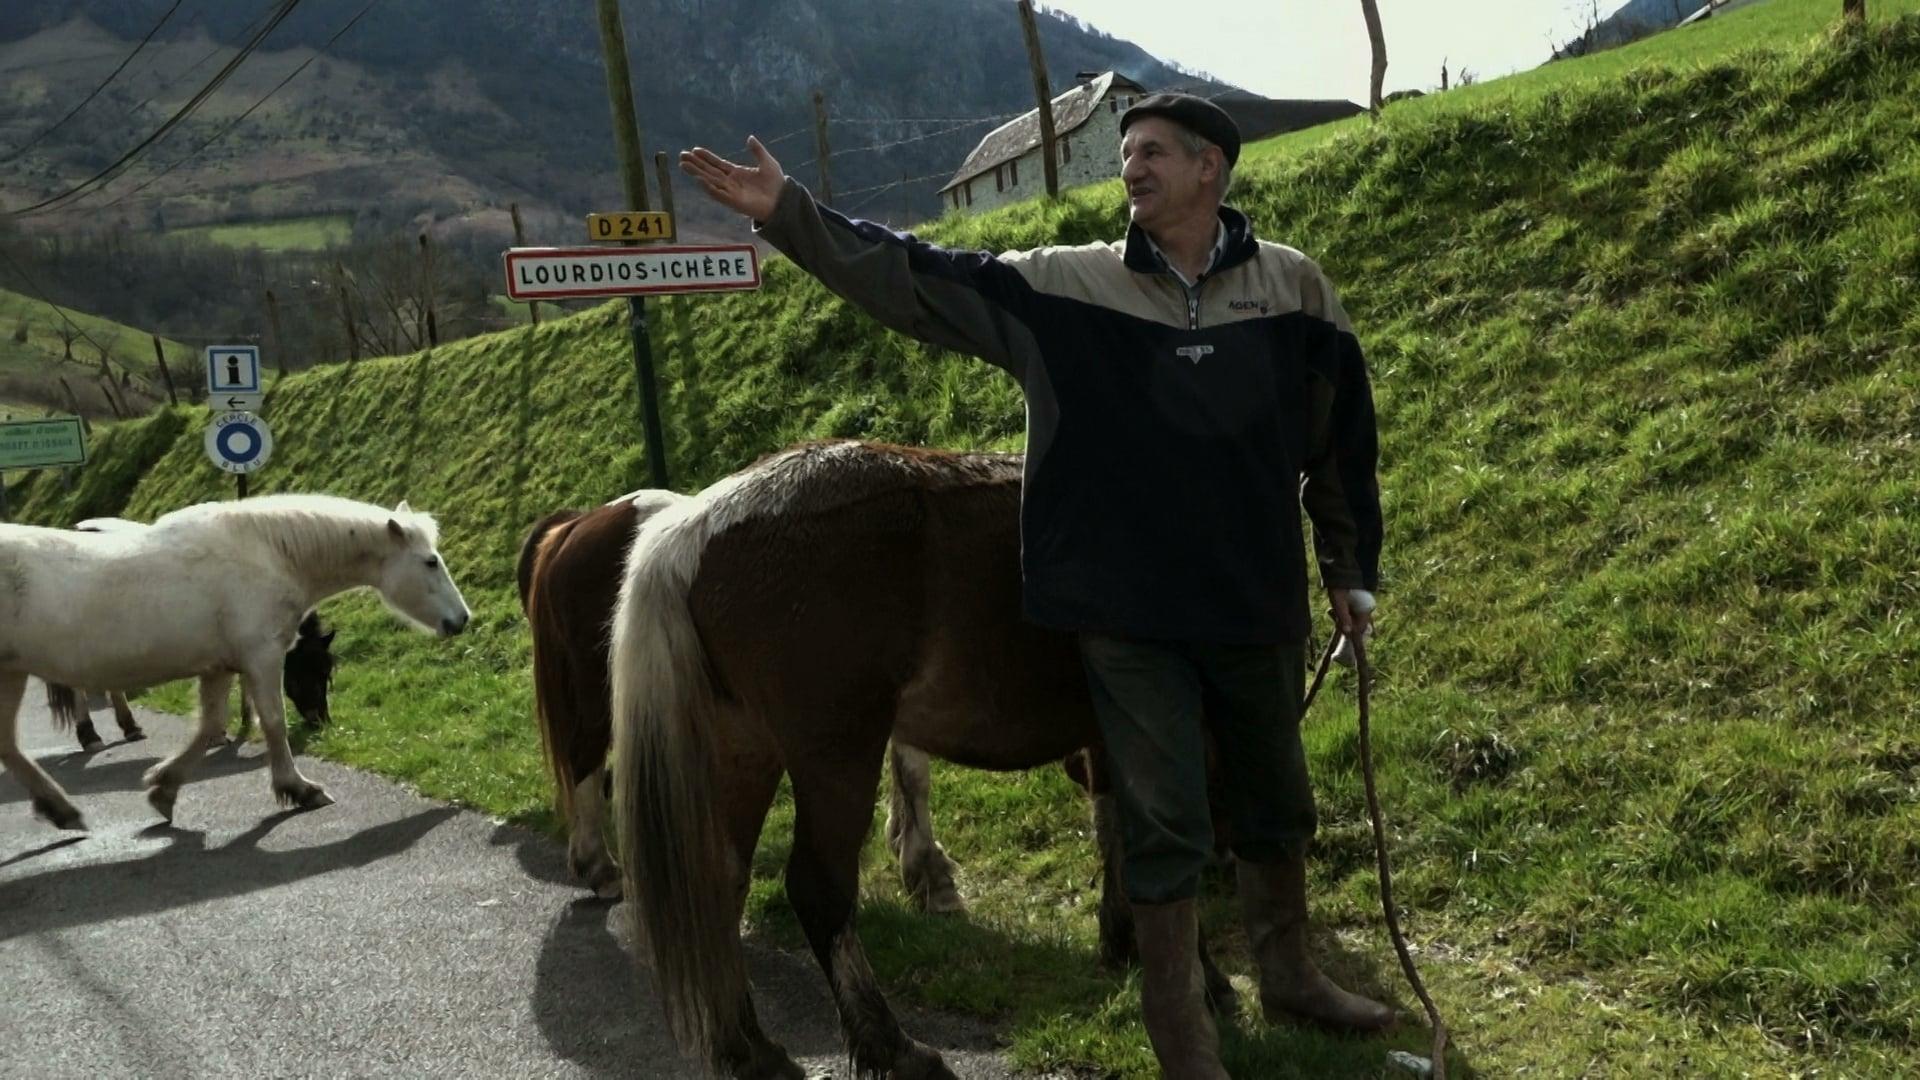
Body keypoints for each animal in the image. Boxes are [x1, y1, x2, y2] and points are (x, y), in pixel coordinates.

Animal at [2, 491, 468, 826]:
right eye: (430, 562)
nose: (462, 619)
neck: (268, 554)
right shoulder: (262, 658)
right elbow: (274, 723)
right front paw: (298, 789)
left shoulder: (220, 666)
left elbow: (210, 727)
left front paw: (164, 788)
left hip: (12, 675)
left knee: (9, 746)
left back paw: (60, 807)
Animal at [510, 488, 960, 907]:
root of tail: (574, 526)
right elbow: (912, 773)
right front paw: (927, 870)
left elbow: (908, 773)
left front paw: (911, 851)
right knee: (584, 762)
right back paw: (600, 868)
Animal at [618, 440, 1244, 1076]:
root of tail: (692, 530)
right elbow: (1165, 851)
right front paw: (1202, 981)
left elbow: (1113, 827)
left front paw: (1122, 942)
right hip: (836, 755)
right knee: (819, 890)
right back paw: (892, 1045)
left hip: (745, 750)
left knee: (723, 881)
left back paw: (750, 1048)